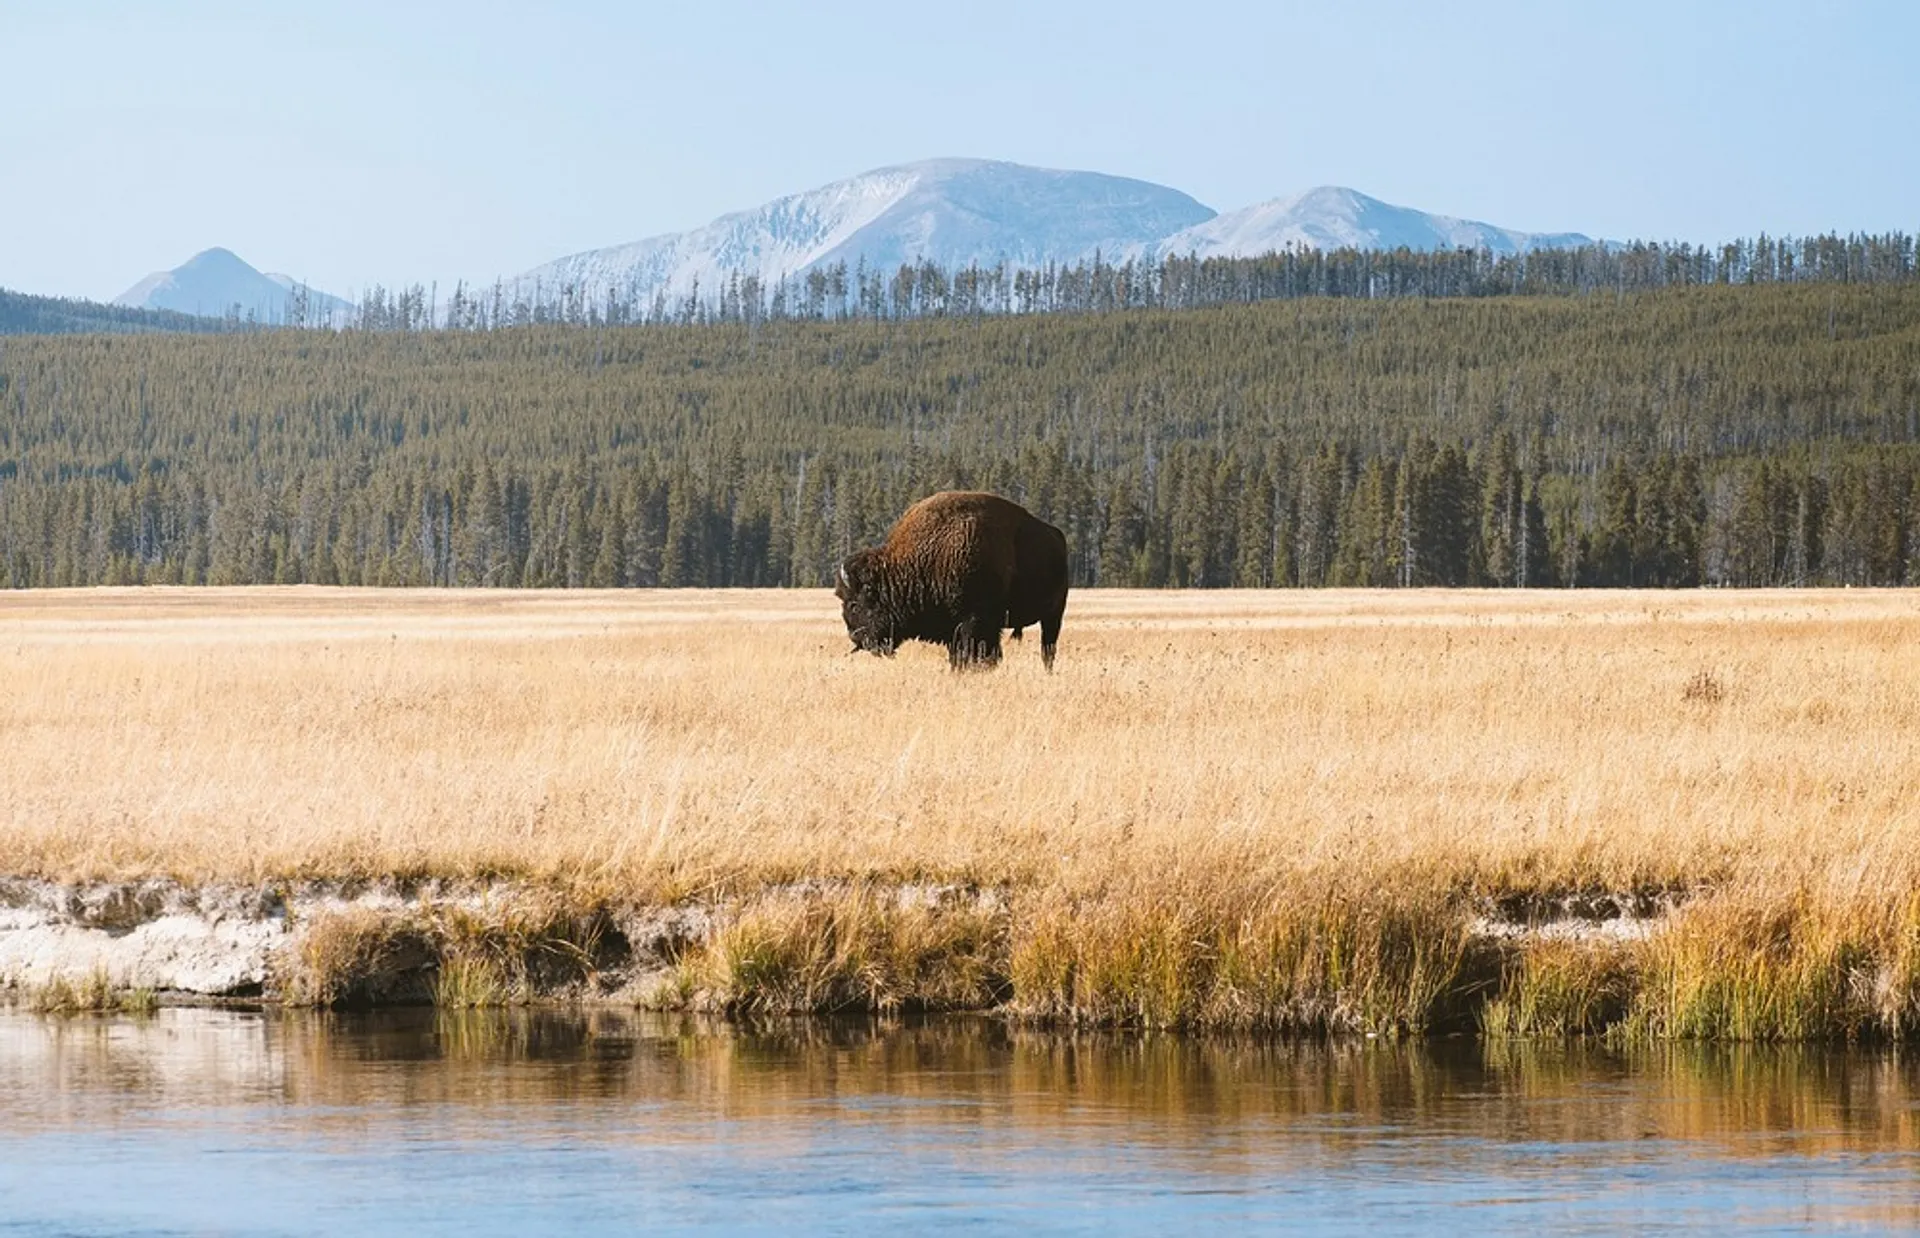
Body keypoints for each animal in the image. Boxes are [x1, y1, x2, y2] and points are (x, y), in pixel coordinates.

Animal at [835, 491, 1068, 670]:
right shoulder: (955, 629)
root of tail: (1056, 536)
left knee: (1048, 648)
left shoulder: (974, 622)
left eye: (854, 604)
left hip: (1054, 615)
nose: (855, 637)